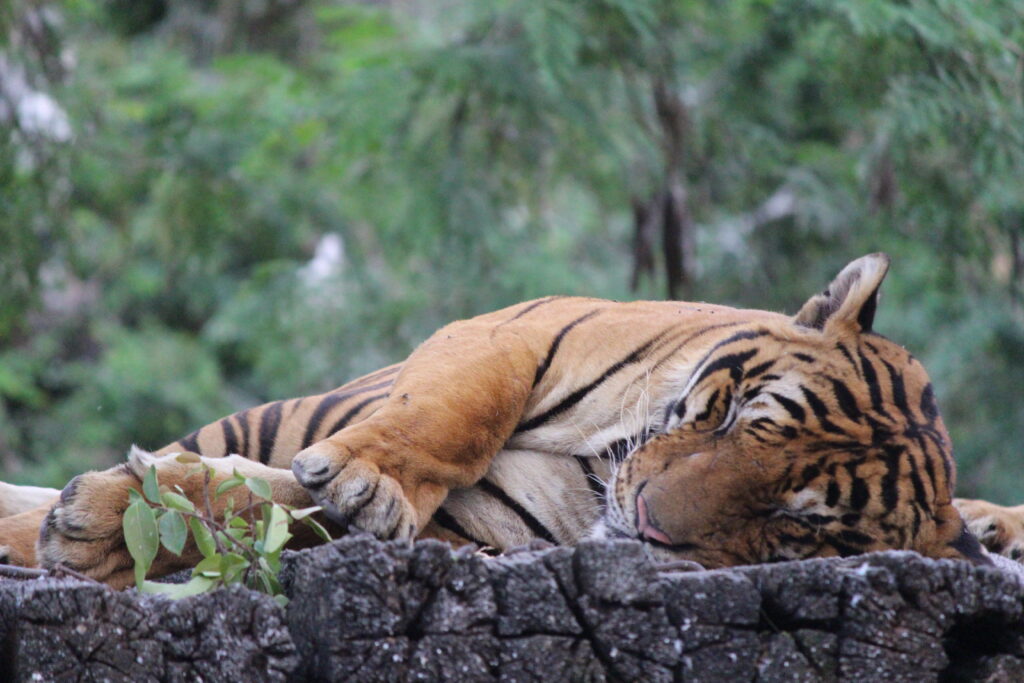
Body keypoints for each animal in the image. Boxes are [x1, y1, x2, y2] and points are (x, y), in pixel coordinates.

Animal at [1, 253, 1022, 587]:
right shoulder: (516, 328)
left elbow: (285, 521)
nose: (645, 519)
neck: (599, 467)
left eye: (795, 524)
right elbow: (456, 409)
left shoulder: (475, 530)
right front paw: (372, 477)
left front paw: (111, 530)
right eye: (734, 416)